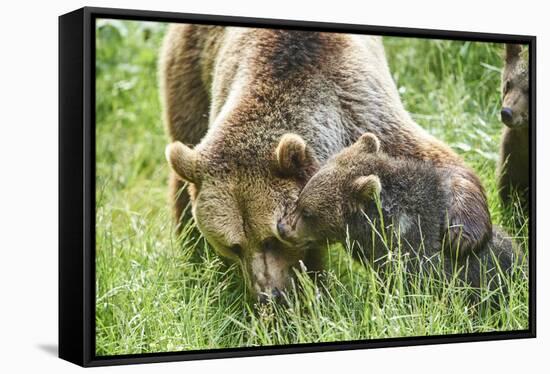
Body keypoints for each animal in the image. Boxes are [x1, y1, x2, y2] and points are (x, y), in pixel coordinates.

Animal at [160, 24, 492, 300]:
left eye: (271, 240)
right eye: (233, 245)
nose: (268, 295)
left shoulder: (360, 109)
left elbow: (433, 160)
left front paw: (462, 235)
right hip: (192, 70)